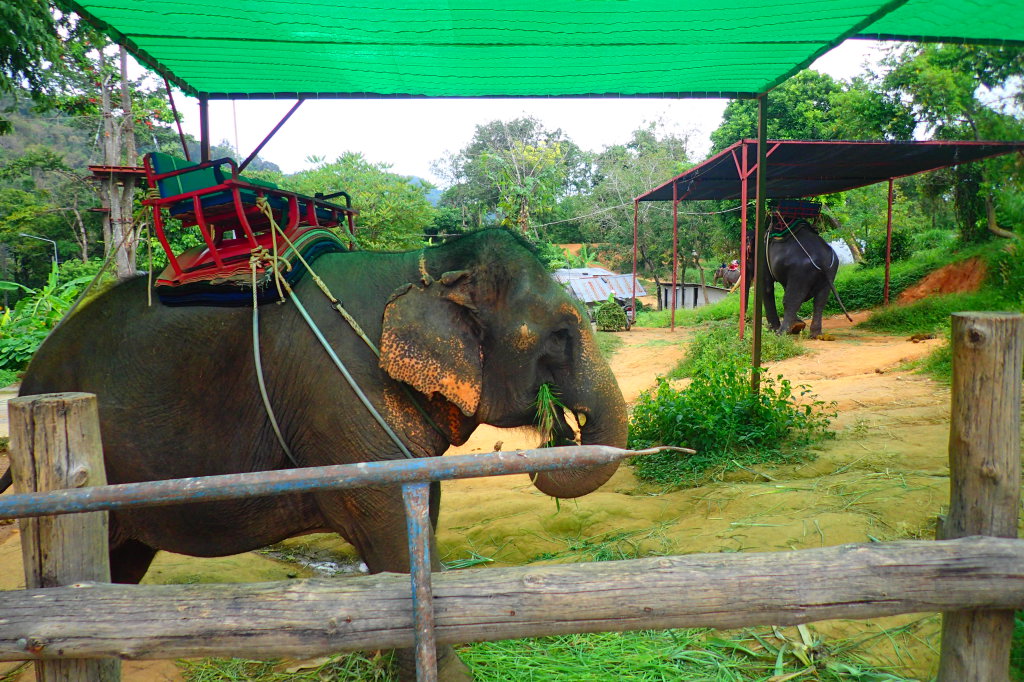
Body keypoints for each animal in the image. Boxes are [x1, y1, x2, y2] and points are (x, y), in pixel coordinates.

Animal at [12, 229, 626, 679]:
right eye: (560, 333)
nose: (561, 427)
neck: (425, 266)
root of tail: (30, 380)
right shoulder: (340, 401)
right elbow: (389, 532)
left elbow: (417, 522)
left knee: (120, 565)